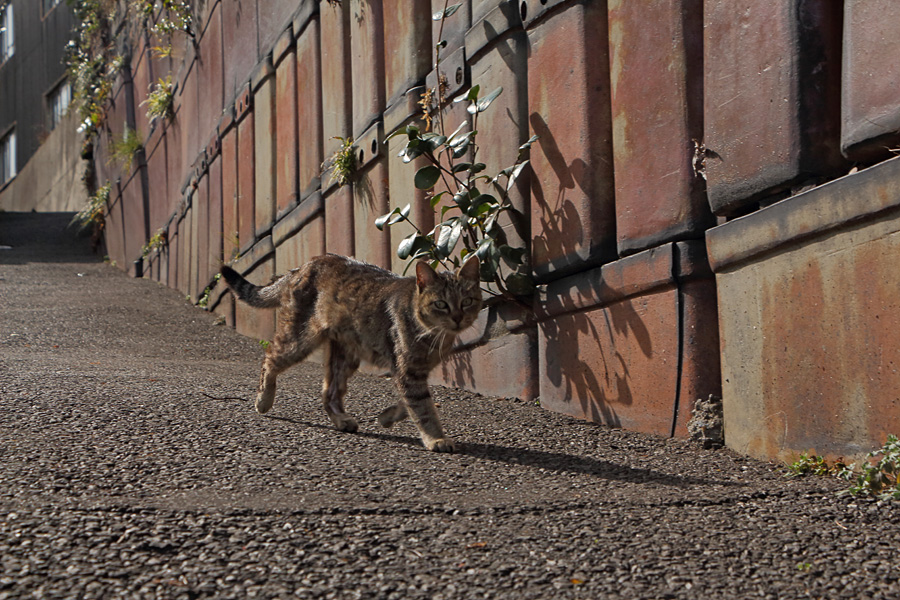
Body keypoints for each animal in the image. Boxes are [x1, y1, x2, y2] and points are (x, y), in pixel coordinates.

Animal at [221, 251, 482, 452]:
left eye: (467, 301)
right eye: (441, 304)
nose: (458, 318)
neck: (433, 335)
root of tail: (303, 265)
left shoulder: (412, 372)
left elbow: (411, 403)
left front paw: (388, 416)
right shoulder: (407, 371)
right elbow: (424, 409)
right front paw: (436, 438)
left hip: (345, 355)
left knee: (329, 392)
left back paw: (341, 419)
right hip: (300, 340)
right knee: (269, 358)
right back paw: (263, 400)